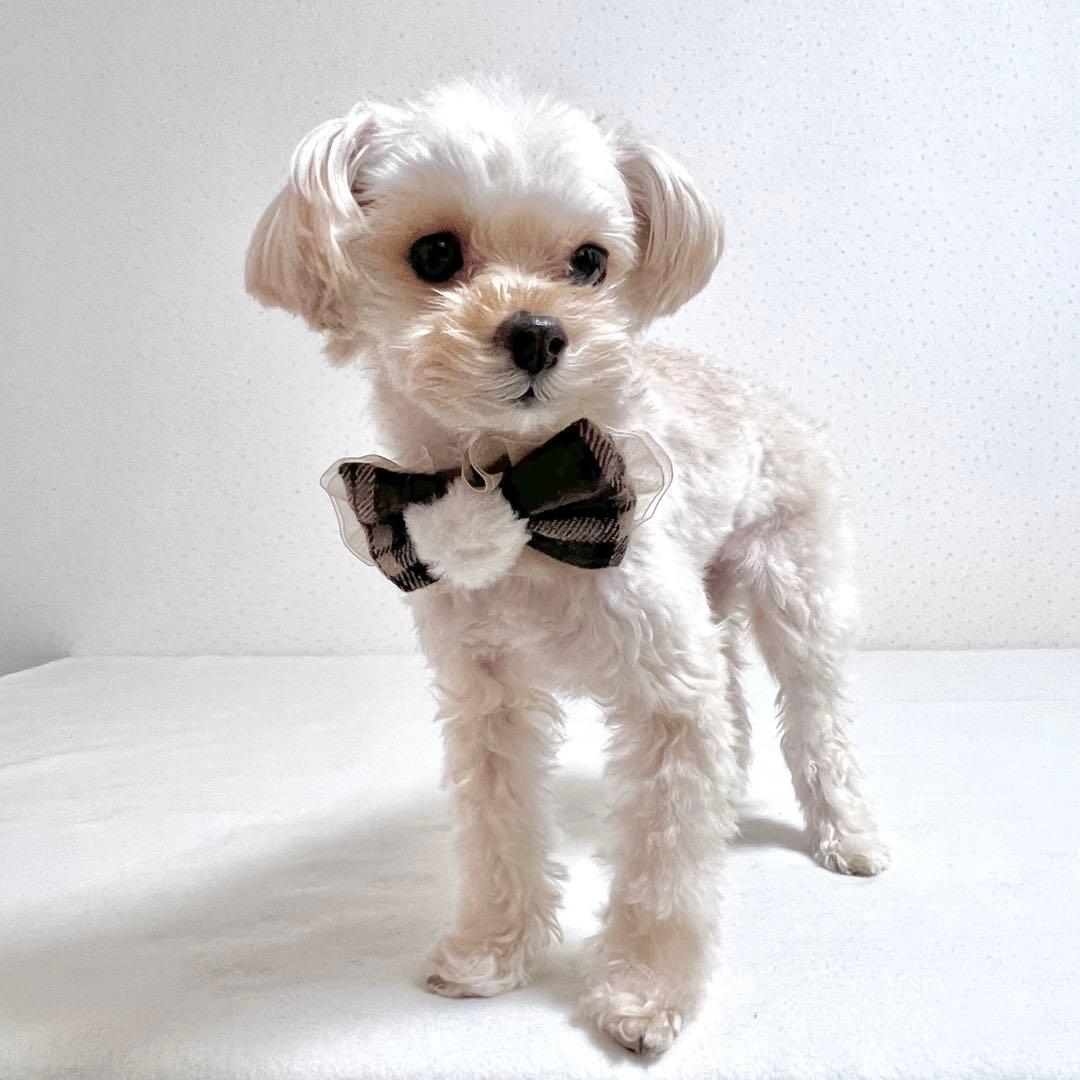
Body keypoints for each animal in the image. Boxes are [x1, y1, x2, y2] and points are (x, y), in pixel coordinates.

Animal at [245, 79, 888, 1055]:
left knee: (817, 726)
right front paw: (492, 950)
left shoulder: (667, 692)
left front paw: (645, 992)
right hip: (706, 605)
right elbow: (499, 829)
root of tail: (773, 400)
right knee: (737, 714)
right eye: (435, 253)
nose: (538, 332)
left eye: (590, 262)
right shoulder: (489, 700)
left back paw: (846, 834)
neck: (518, 489)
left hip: (794, 594)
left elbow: (663, 862)